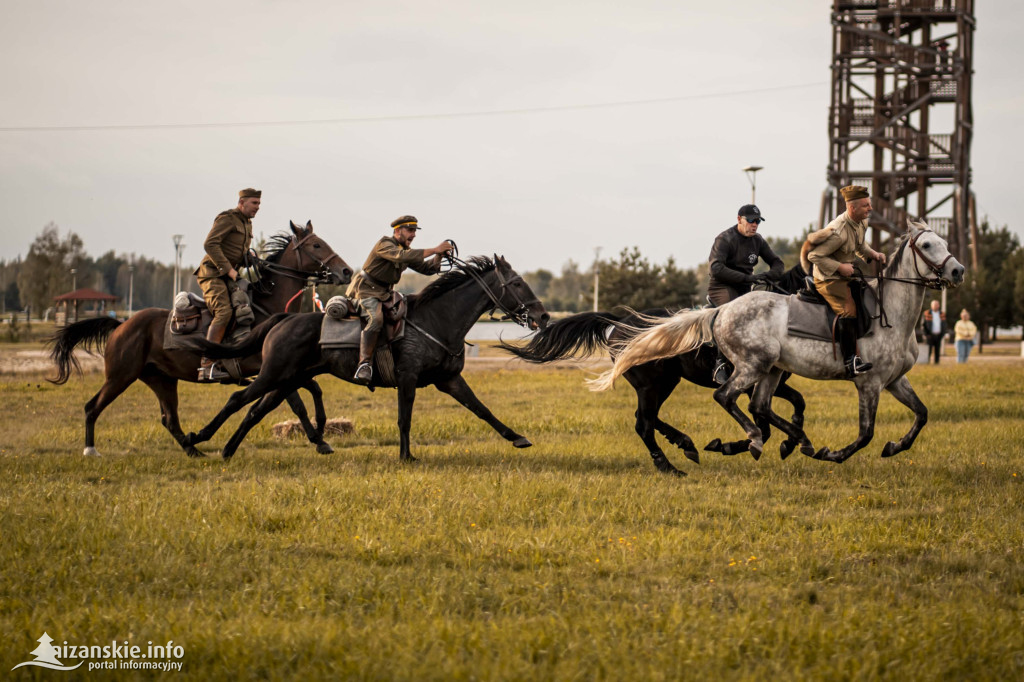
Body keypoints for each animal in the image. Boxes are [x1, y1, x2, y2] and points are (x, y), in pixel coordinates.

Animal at [49, 220, 354, 456]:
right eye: (317, 245)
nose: (346, 271)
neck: (267, 309)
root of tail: (121, 325)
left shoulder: (286, 370)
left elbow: (312, 390)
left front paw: (320, 437)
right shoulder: (272, 370)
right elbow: (298, 403)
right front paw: (319, 439)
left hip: (161, 379)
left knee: (169, 419)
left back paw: (192, 449)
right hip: (120, 376)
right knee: (92, 407)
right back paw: (90, 449)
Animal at [184, 258, 552, 458]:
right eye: (517, 283)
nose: (543, 315)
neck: (437, 319)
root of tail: (284, 319)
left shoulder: (449, 380)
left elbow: (482, 410)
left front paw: (518, 438)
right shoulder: (407, 379)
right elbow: (405, 419)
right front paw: (406, 456)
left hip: (286, 380)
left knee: (256, 410)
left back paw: (227, 449)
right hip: (272, 374)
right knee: (237, 399)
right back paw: (196, 439)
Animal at [495, 264, 806, 473]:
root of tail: (619, 322)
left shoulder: (772, 383)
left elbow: (795, 403)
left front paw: (788, 443)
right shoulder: (750, 383)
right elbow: (763, 426)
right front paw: (732, 446)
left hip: (663, 383)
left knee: (647, 418)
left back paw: (684, 444)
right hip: (653, 384)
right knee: (643, 422)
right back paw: (669, 465)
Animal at [593, 222, 958, 462]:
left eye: (944, 240)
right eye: (927, 246)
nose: (959, 271)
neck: (891, 314)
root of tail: (721, 311)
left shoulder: (895, 380)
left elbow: (922, 414)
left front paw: (894, 446)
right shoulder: (869, 383)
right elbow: (865, 433)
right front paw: (832, 453)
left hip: (760, 370)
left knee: (753, 407)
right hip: (735, 370)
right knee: (717, 400)